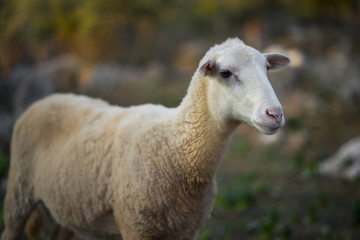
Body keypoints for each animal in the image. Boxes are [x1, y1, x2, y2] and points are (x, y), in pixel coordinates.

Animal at [0, 37, 290, 240]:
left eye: (267, 68)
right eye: (226, 73)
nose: (275, 114)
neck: (175, 147)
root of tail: (47, 99)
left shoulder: (186, 228)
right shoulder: (136, 225)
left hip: (70, 205)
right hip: (19, 188)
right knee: (11, 228)